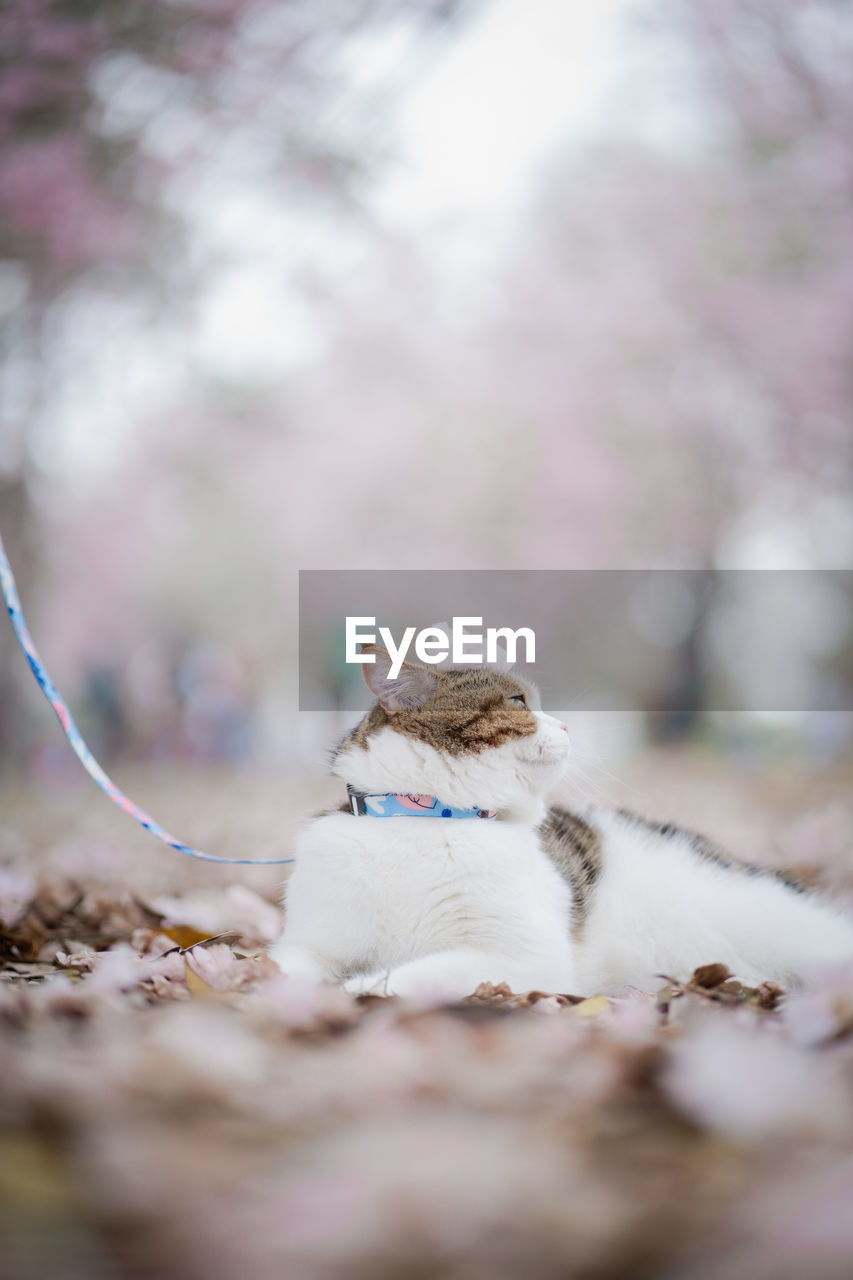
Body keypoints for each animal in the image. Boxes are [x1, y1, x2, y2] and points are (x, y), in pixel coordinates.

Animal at [268, 650, 850, 998]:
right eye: (518, 700)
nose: (567, 724)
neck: (423, 820)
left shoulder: (521, 959)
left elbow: (408, 976)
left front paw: (357, 990)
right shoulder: (311, 944)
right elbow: (282, 966)